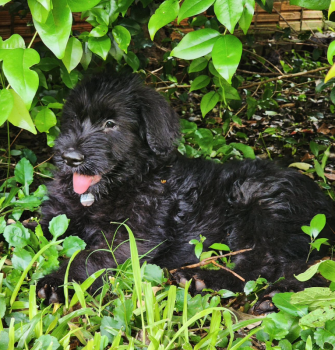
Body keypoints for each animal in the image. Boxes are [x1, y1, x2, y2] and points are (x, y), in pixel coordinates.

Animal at [36, 73, 335, 306]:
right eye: (74, 119)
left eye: (110, 124)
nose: (70, 158)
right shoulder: (54, 217)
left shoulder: (131, 238)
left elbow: (88, 257)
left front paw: (55, 282)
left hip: (259, 204)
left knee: (266, 263)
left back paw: (207, 280)